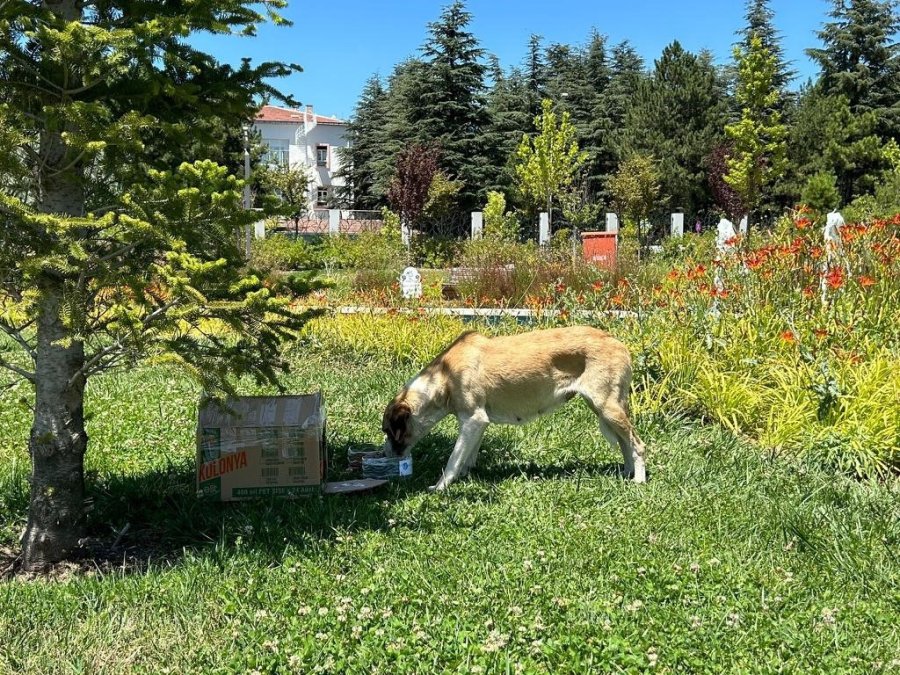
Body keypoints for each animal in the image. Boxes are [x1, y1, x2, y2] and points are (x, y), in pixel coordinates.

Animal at [382, 326, 648, 492]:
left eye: (387, 431)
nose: (384, 454)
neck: (444, 377)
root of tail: (618, 342)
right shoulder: (478, 423)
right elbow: (467, 456)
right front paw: (466, 476)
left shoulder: (473, 419)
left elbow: (453, 460)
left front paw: (440, 487)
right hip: (603, 409)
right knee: (625, 442)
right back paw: (627, 473)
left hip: (607, 408)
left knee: (637, 445)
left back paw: (639, 480)